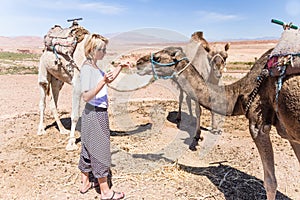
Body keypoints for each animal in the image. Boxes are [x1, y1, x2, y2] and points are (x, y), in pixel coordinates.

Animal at [136, 36, 300, 198]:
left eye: (157, 57)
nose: (138, 63)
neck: (239, 93)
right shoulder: (291, 135)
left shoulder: (258, 125)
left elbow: (270, 182)